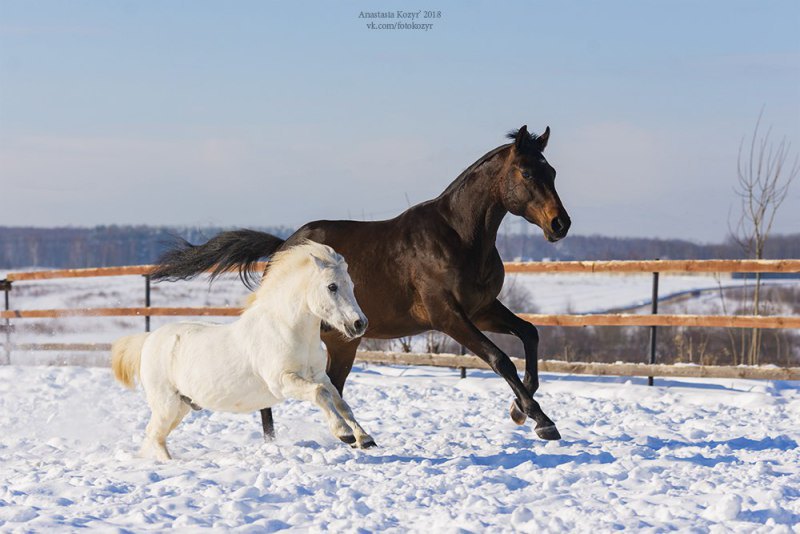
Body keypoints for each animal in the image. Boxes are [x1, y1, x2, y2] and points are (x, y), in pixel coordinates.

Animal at [112, 242, 376, 460]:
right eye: (332, 286)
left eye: (351, 285)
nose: (359, 324)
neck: (287, 329)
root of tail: (148, 340)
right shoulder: (282, 381)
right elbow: (320, 394)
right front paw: (344, 433)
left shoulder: (318, 375)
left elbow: (340, 401)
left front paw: (365, 438)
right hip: (166, 405)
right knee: (154, 435)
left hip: (182, 406)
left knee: (154, 437)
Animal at [153, 126, 572, 444]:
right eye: (528, 173)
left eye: (552, 172)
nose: (560, 224)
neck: (459, 237)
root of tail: (283, 247)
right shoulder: (448, 316)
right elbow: (500, 359)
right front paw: (541, 421)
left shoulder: (481, 309)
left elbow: (530, 335)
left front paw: (519, 411)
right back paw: (279, 441)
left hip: (343, 341)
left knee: (332, 387)